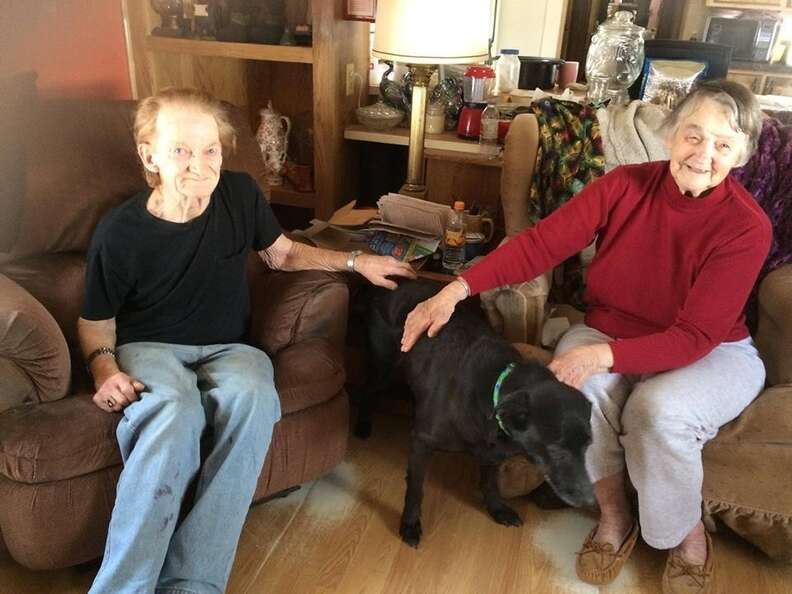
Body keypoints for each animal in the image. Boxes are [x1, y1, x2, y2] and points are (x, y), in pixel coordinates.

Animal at [362, 278, 592, 544]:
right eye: (557, 450)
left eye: (588, 446)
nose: (589, 499)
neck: (495, 385)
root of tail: (399, 281)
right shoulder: (422, 442)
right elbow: (416, 488)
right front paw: (410, 524)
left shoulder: (492, 453)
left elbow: (490, 482)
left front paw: (497, 509)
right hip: (384, 370)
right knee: (362, 389)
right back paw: (362, 424)